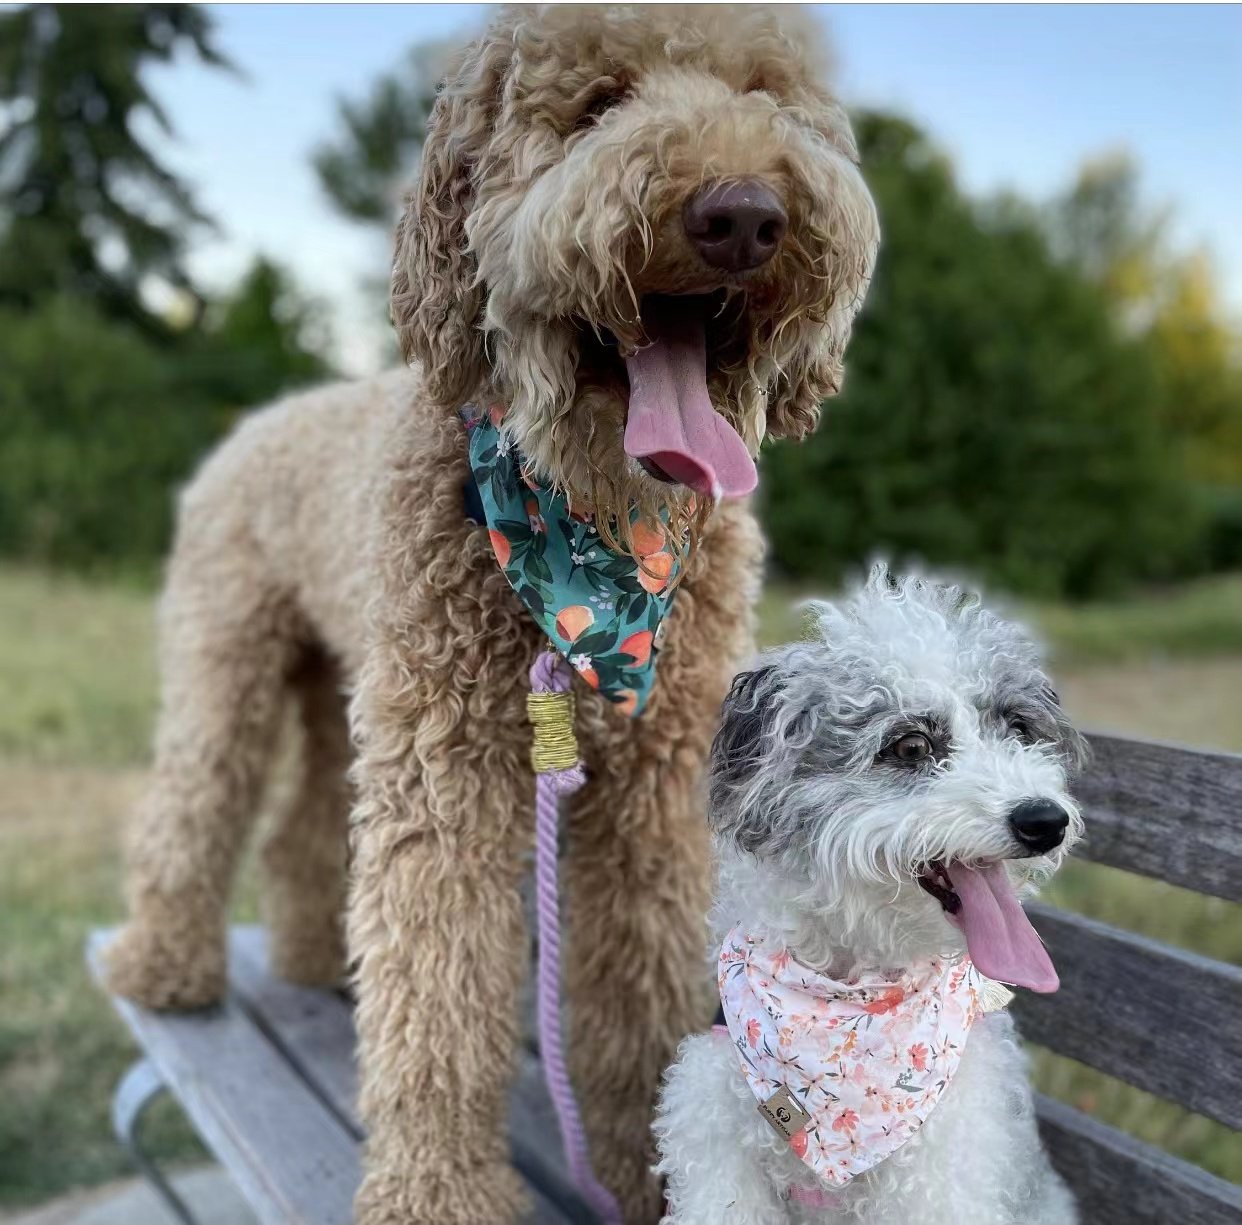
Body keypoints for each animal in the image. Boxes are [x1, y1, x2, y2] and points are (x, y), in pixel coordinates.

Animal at [109, 4, 884, 1217]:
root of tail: (262, 419)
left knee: (298, 828)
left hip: (341, 676)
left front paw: (648, 1170)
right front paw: (439, 1190)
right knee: (195, 801)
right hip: (229, 654)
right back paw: (163, 965)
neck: (589, 550)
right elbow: (438, 991)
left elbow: (637, 993)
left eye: (766, 94)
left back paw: (306, 957)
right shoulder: (448, 769)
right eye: (597, 102)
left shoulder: (656, 788)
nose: (742, 213)